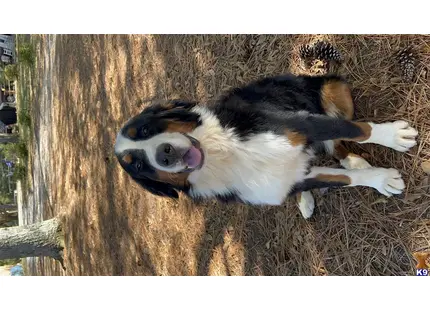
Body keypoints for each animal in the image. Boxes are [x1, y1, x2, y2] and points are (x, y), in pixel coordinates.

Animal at [113, 73, 416, 218]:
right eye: (138, 165)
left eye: (145, 129)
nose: (164, 155)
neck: (225, 155)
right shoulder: (285, 181)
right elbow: (344, 179)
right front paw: (381, 179)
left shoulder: (300, 124)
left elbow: (359, 131)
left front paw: (393, 137)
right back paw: (306, 199)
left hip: (332, 87)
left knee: (339, 138)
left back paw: (353, 159)